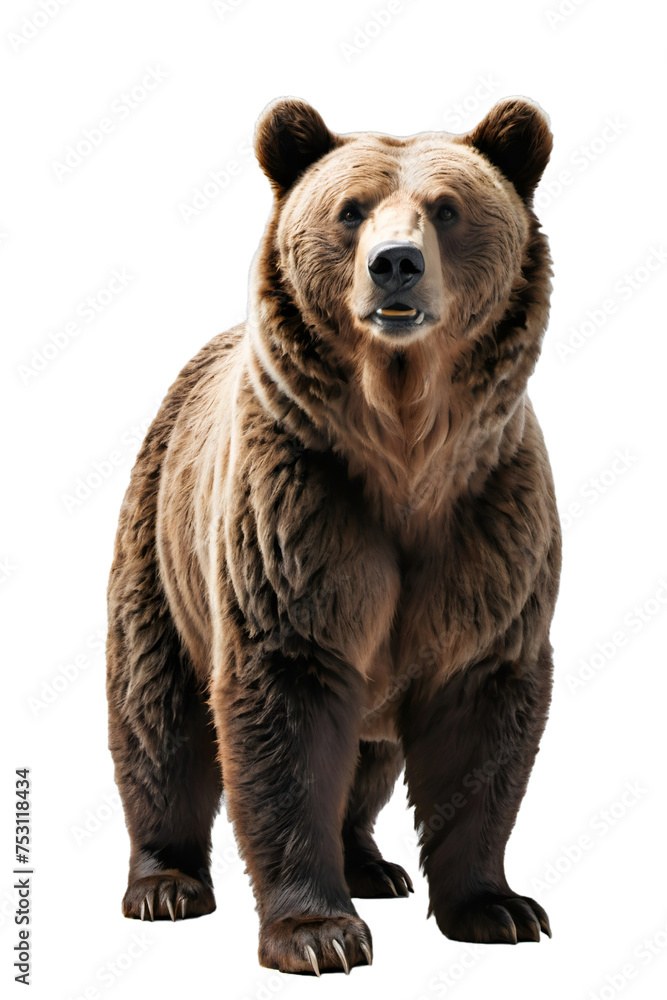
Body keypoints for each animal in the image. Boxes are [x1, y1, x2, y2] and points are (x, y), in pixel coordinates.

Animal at [106, 95, 561, 976]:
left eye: (446, 209)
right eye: (350, 210)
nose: (395, 265)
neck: (405, 450)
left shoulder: (490, 522)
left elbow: (482, 712)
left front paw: (497, 906)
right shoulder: (295, 514)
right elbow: (284, 709)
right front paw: (316, 933)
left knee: (369, 760)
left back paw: (371, 864)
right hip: (160, 546)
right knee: (155, 715)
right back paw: (165, 881)